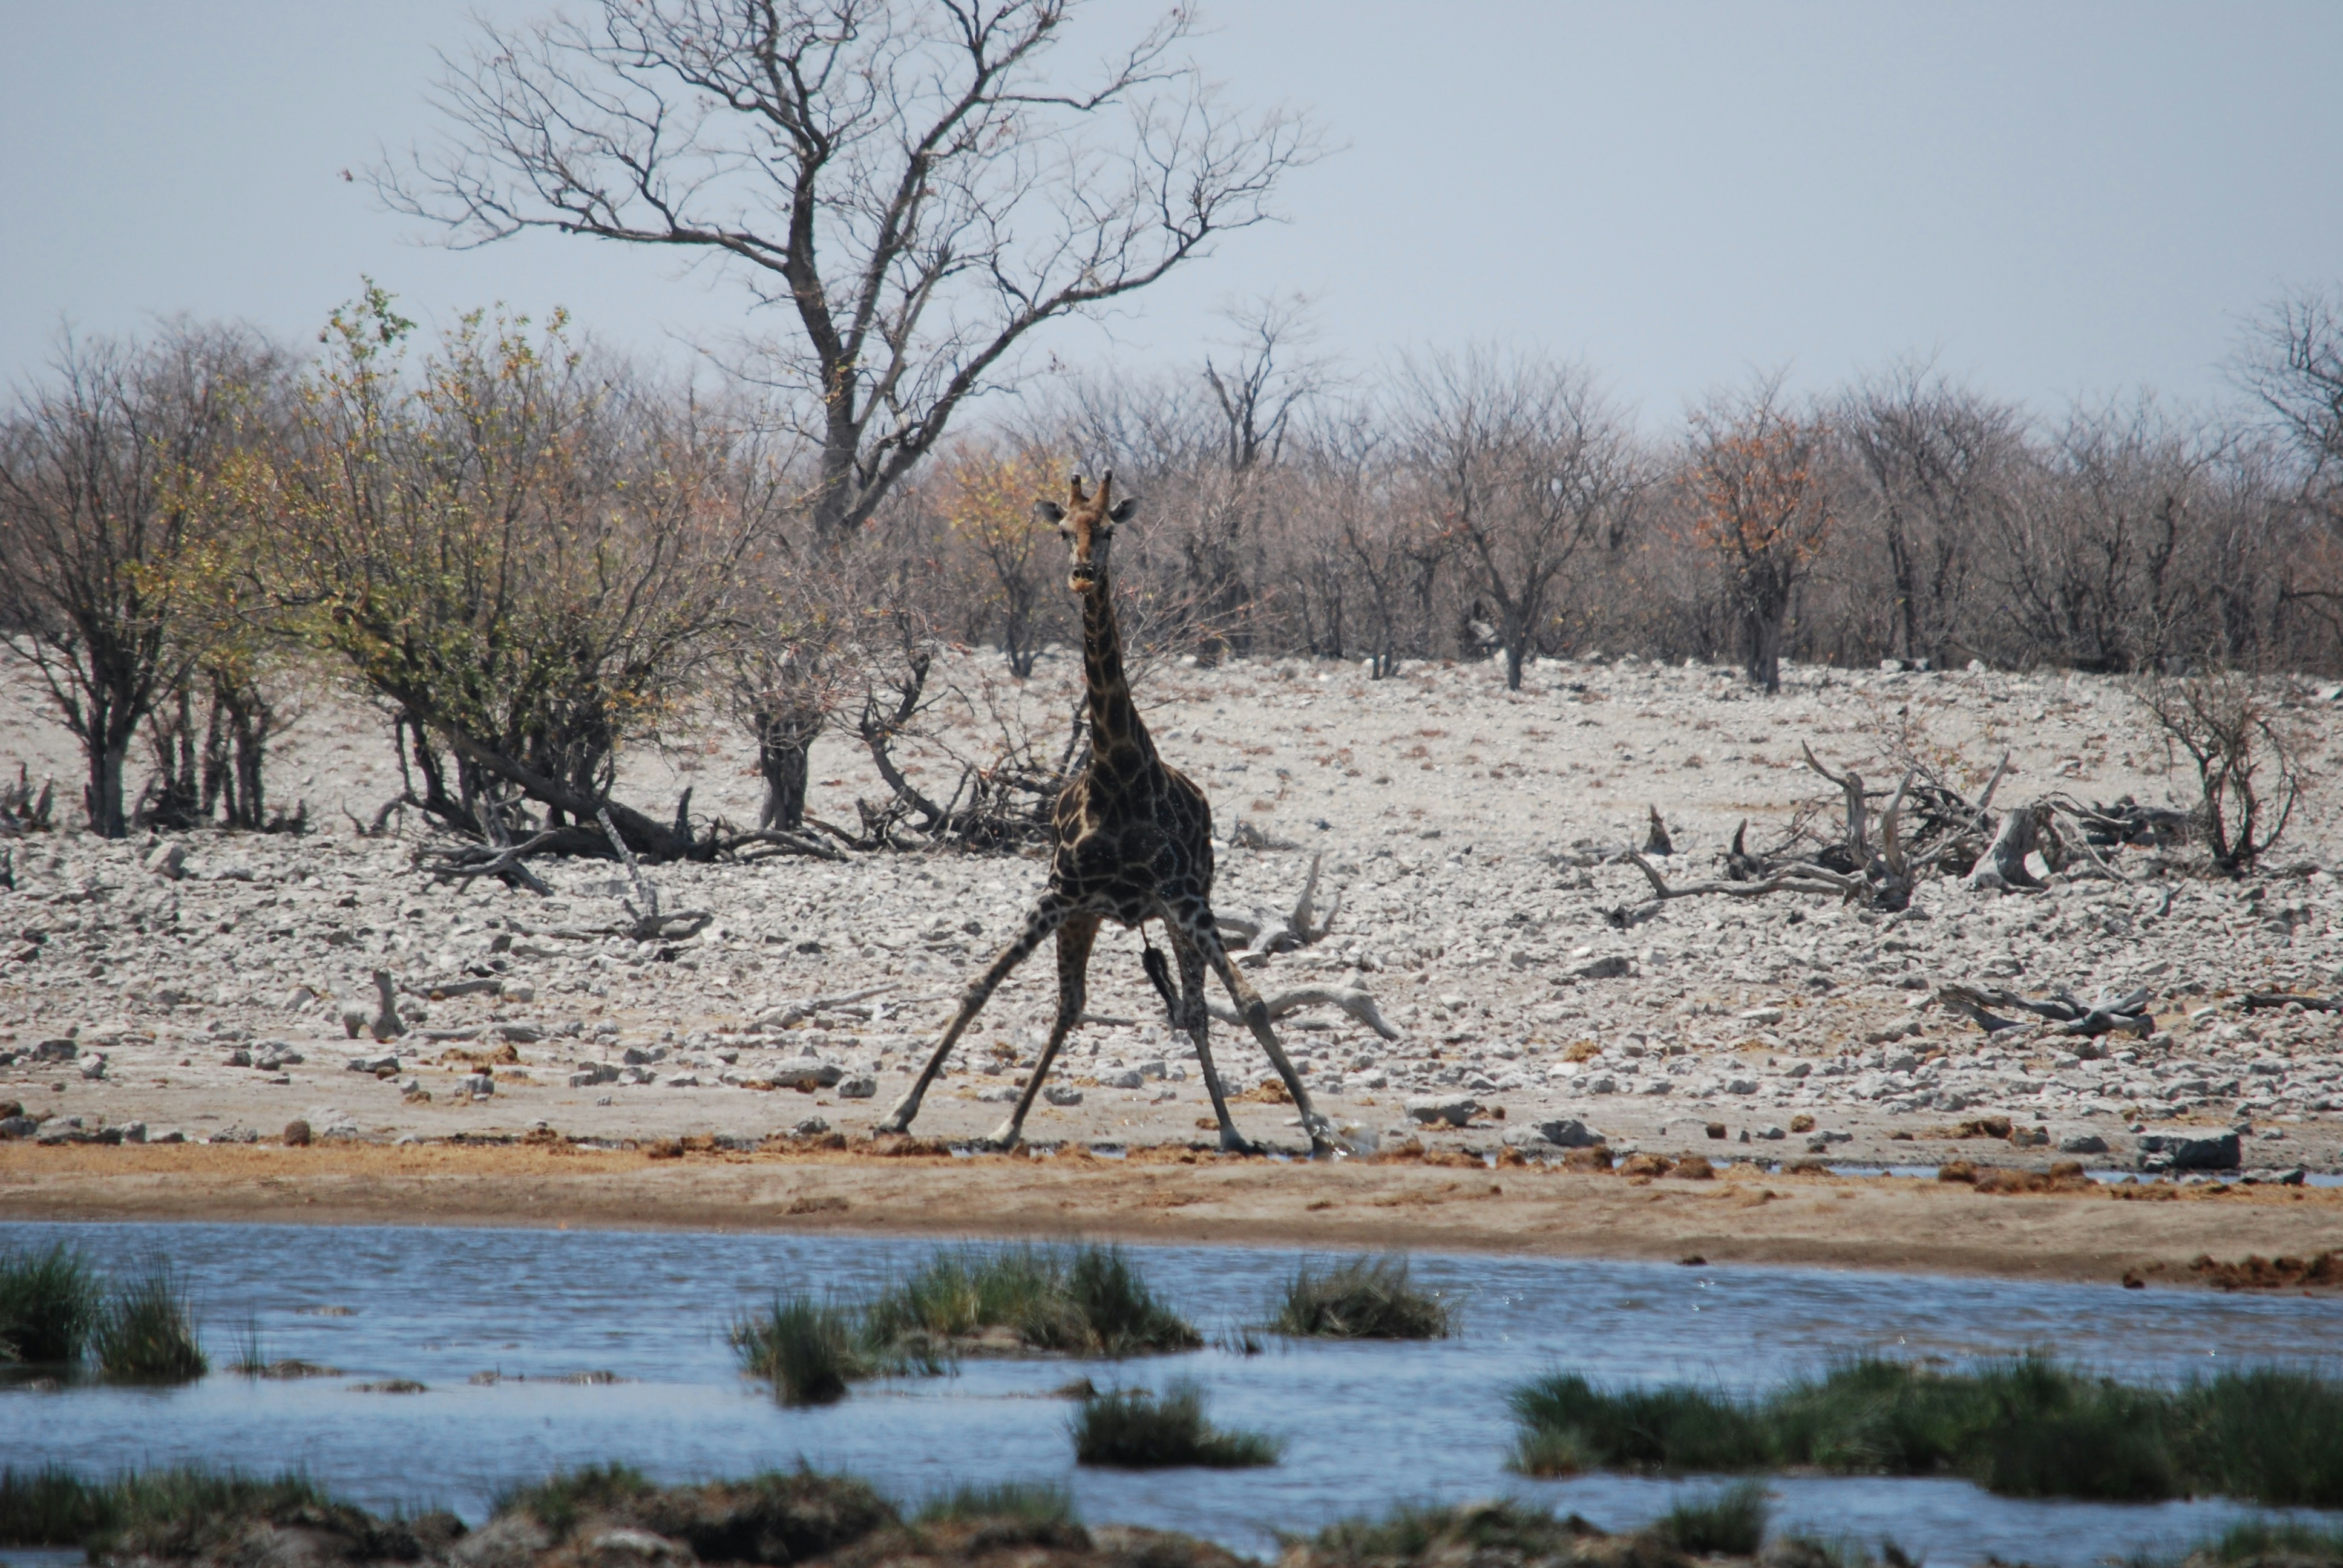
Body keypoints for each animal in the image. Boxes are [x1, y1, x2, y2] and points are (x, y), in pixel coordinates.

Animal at [875, 470, 1339, 1156]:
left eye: (1112, 531)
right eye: (1064, 531)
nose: (1083, 573)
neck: (1118, 775)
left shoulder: (1182, 898)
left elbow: (1251, 1000)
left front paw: (1316, 1123)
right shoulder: (1061, 894)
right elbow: (979, 985)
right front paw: (900, 1111)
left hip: (1179, 910)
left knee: (1194, 1009)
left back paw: (1229, 1128)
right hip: (1088, 916)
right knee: (1073, 1005)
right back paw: (1009, 1125)